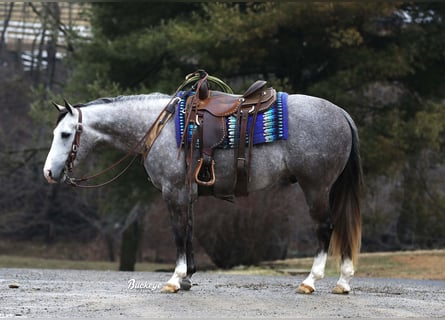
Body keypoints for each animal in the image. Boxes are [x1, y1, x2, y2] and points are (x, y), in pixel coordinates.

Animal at [43, 90, 360, 296]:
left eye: (65, 134)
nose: (48, 172)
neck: (161, 126)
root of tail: (342, 113)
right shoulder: (188, 194)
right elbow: (190, 231)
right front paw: (187, 278)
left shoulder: (173, 192)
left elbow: (178, 234)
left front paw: (175, 278)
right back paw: (343, 282)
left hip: (316, 187)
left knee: (325, 228)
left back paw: (311, 281)